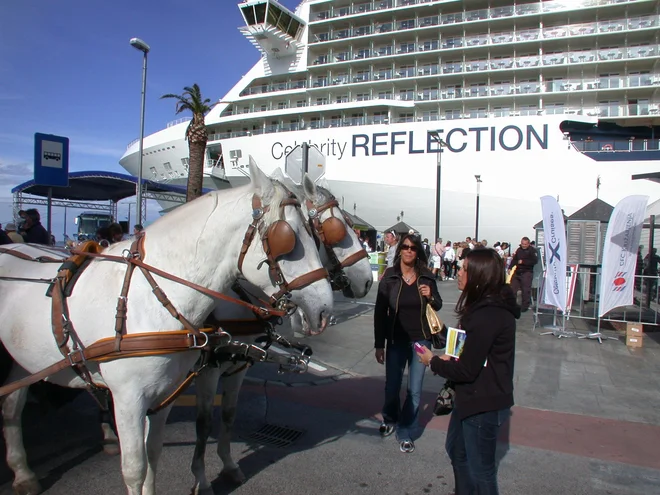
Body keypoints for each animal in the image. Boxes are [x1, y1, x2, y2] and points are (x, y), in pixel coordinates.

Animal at [0, 161, 330, 494]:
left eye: (315, 234)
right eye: (287, 238)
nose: (325, 309)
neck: (147, 300)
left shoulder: (167, 392)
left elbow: (154, 455)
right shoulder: (129, 399)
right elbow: (135, 468)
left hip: (22, 360)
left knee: (12, 408)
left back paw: (22, 472)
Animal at [188, 176, 374, 494]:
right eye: (337, 229)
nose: (369, 280)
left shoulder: (239, 361)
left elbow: (228, 413)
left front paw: (229, 464)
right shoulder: (210, 366)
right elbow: (203, 423)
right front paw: (200, 478)